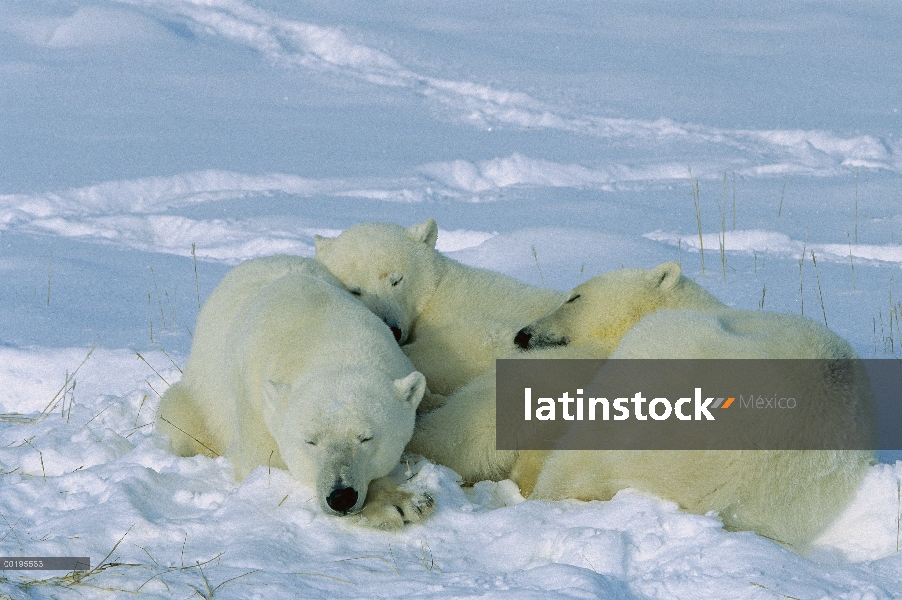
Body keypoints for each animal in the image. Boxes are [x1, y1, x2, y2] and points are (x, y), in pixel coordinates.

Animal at [156, 255, 434, 528]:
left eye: (366, 438)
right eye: (310, 441)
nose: (341, 496)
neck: (326, 336)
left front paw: (406, 501)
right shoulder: (255, 399)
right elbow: (263, 460)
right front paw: (392, 506)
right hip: (199, 399)